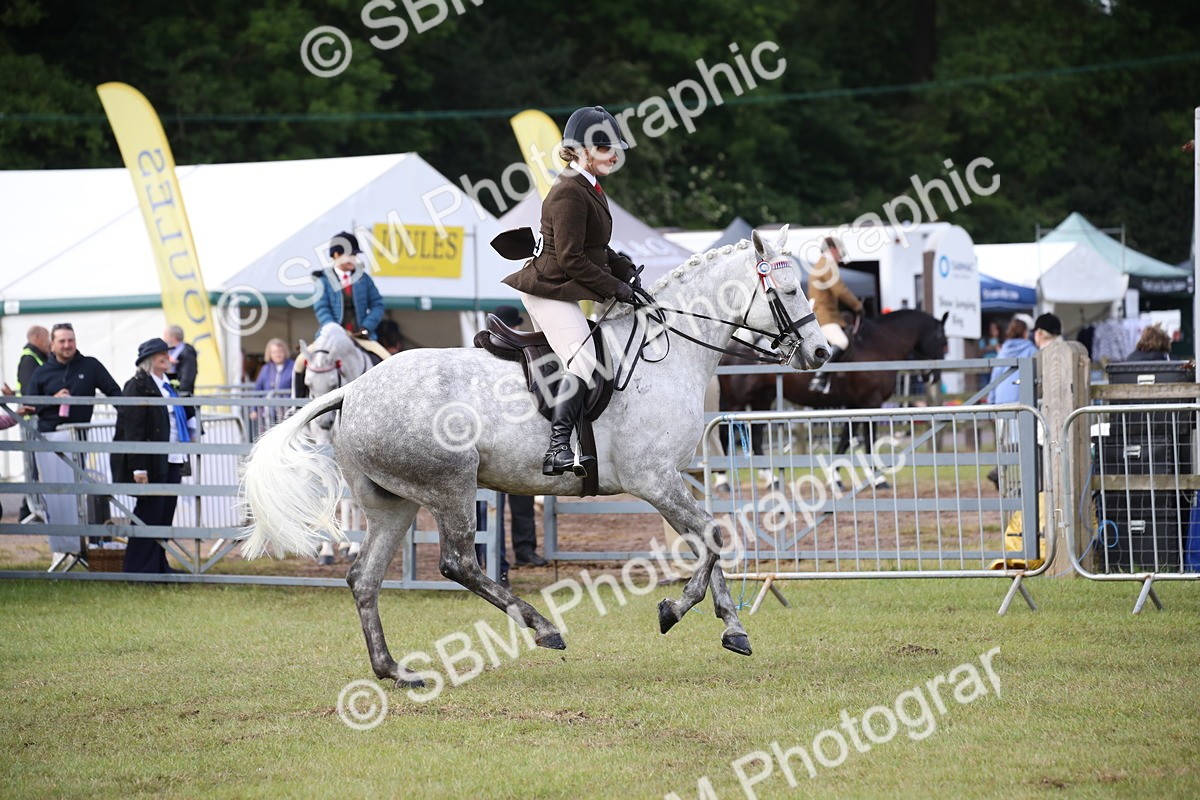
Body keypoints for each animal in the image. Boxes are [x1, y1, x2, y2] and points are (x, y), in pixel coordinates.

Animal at [300, 322, 378, 563]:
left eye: (333, 383)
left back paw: (345, 544)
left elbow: (353, 501)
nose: (323, 422)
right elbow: (326, 493)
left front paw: (353, 548)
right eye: (307, 384)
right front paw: (325, 550)